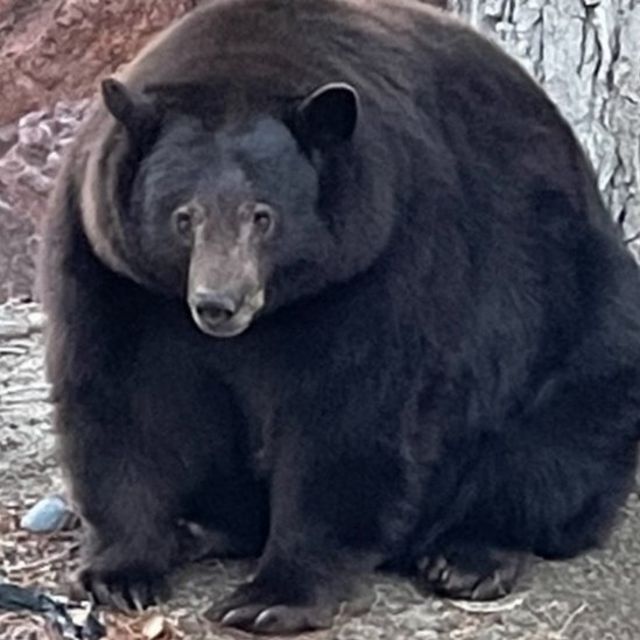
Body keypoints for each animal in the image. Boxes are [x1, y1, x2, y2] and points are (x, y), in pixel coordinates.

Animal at [41, 0, 640, 632]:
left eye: (263, 216)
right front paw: (121, 571)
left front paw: (271, 597)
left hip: (579, 323)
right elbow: (125, 398)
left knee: (554, 445)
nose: (218, 303)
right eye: (185, 217)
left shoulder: (383, 256)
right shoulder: (114, 270)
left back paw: (468, 555)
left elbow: (348, 415)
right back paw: (201, 527)